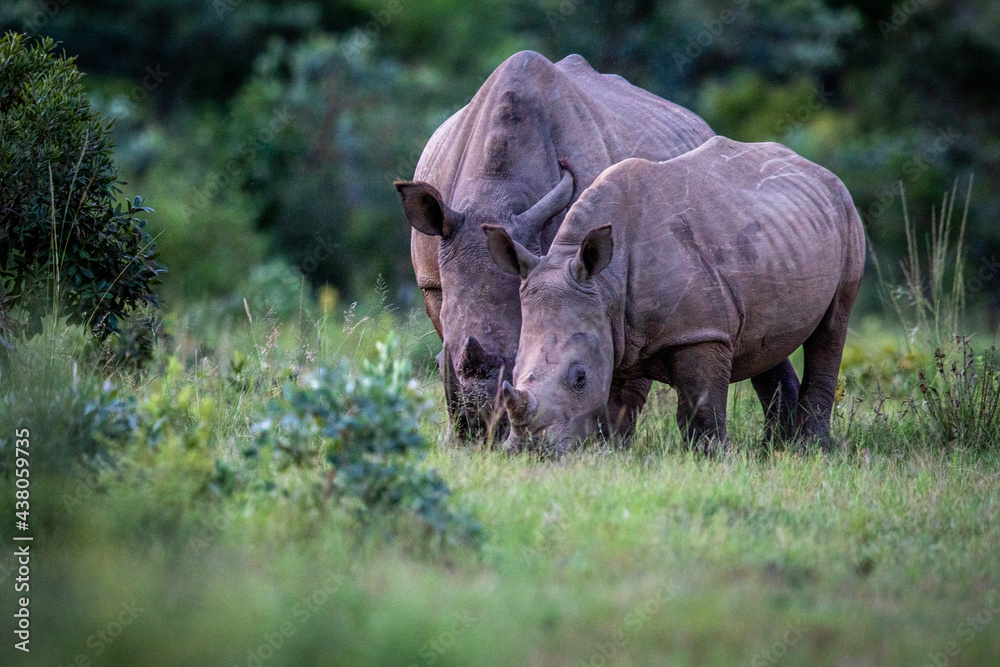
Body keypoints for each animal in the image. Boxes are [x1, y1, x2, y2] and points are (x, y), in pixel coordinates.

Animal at [484, 136, 866, 453]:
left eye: (579, 378)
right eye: (513, 369)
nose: (528, 451)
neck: (605, 283)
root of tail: (816, 169)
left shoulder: (699, 332)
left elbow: (701, 404)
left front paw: (709, 457)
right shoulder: (614, 328)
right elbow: (613, 407)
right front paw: (611, 454)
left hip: (847, 214)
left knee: (832, 326)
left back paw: (812, 449)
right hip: (777, 236)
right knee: (767, 341)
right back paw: (777, 449)